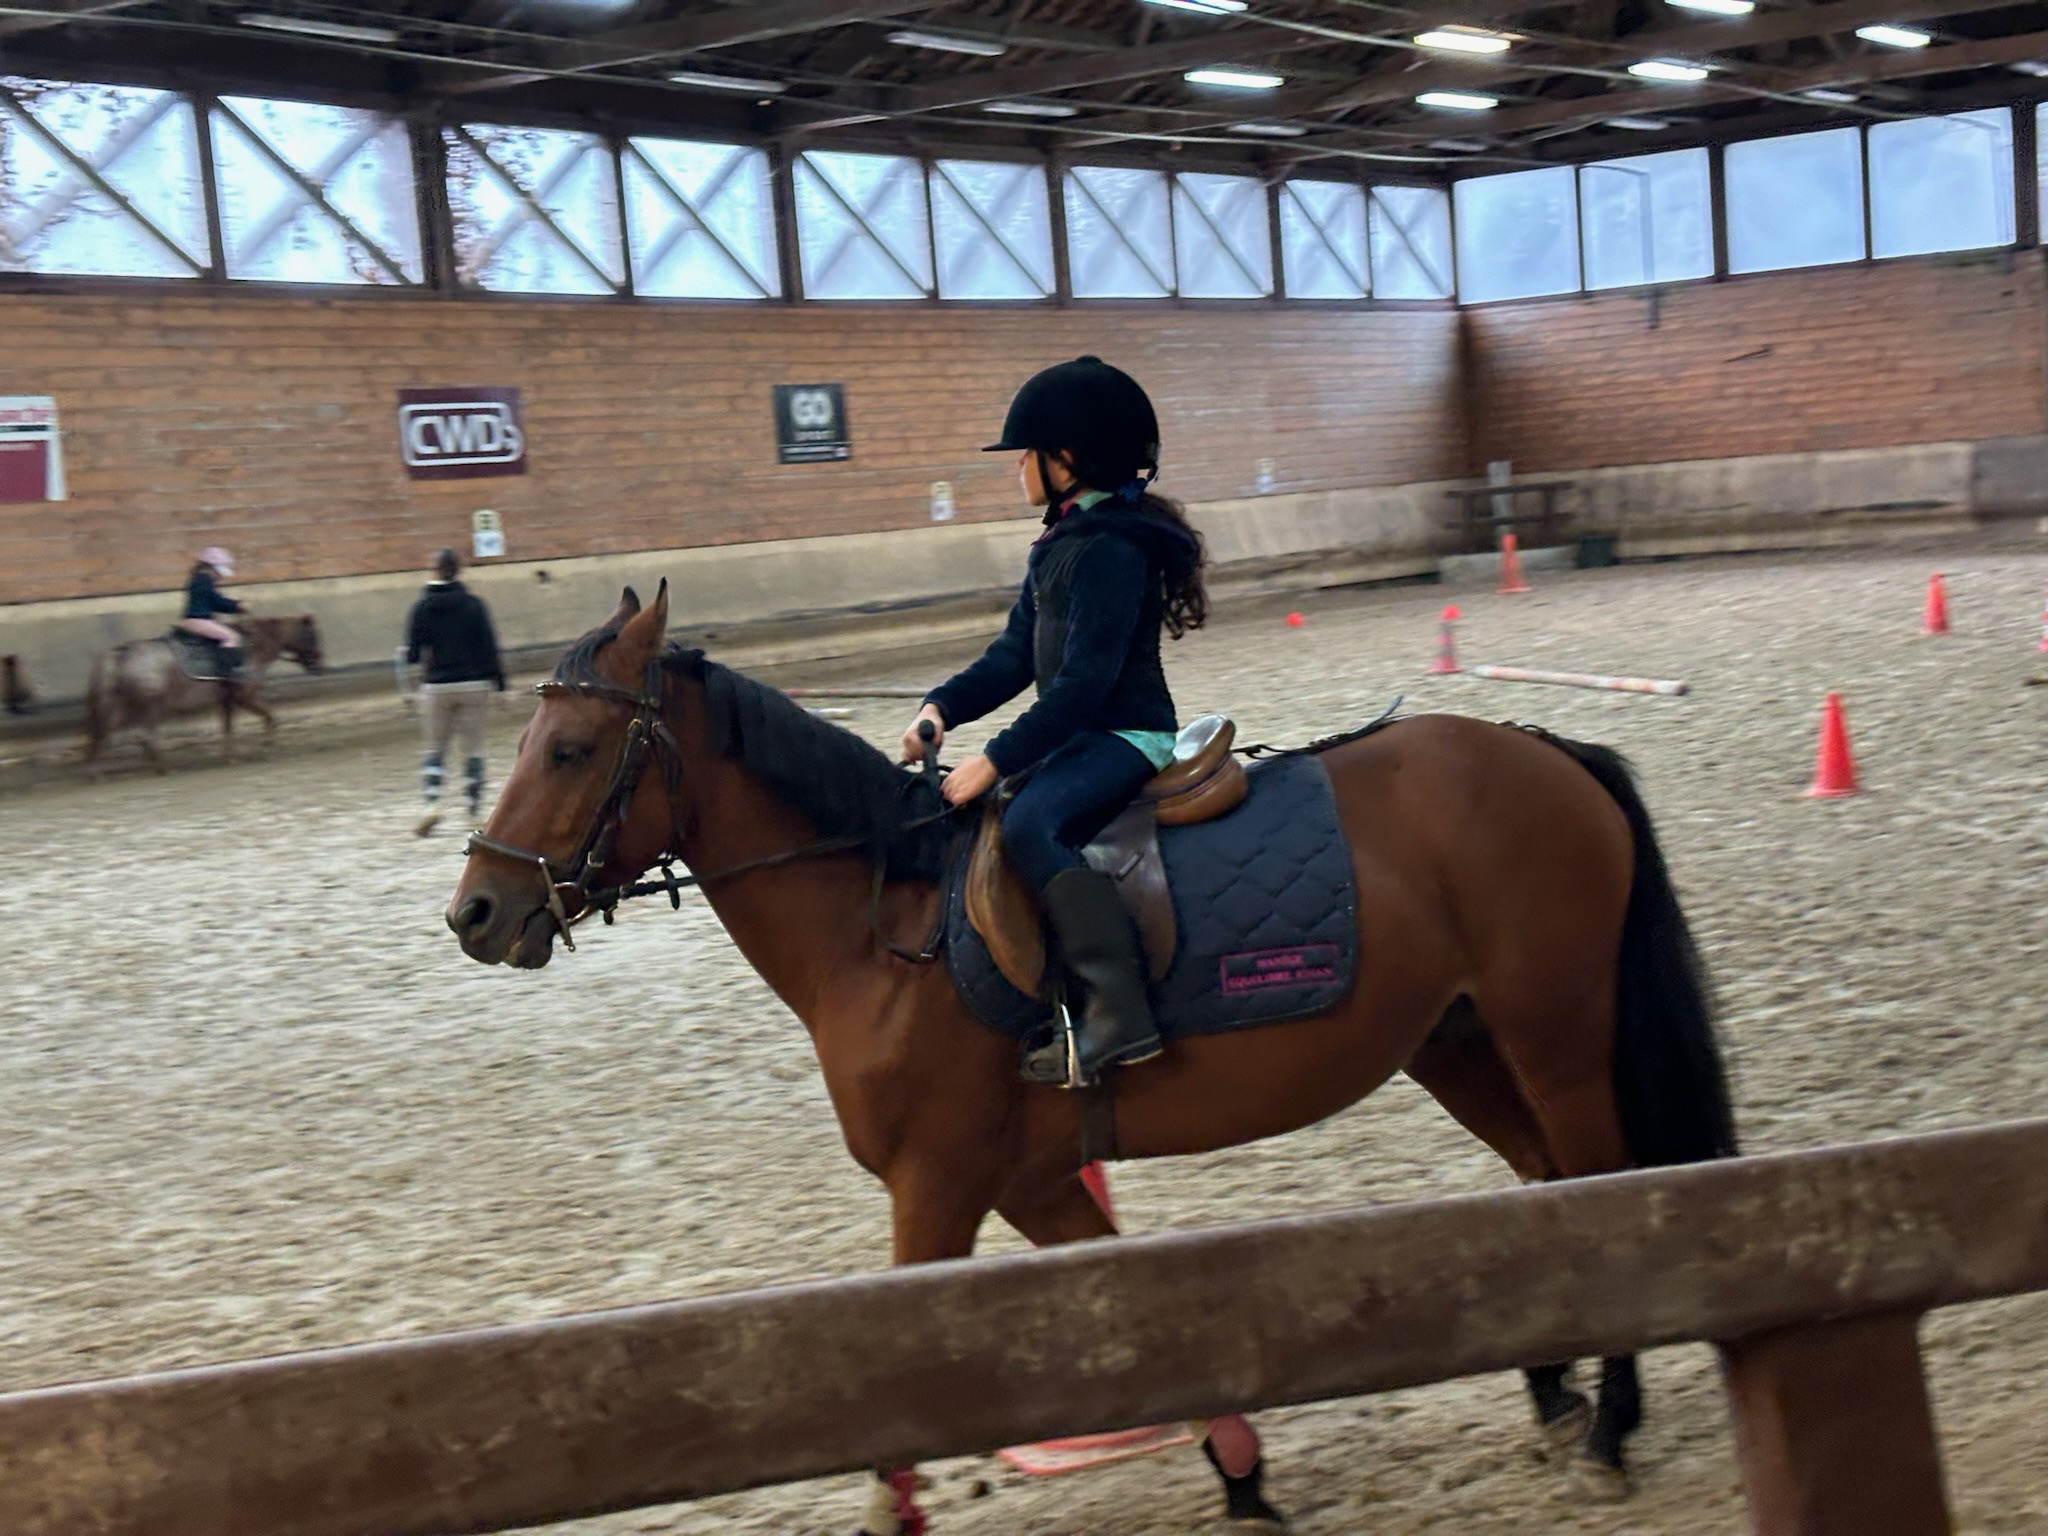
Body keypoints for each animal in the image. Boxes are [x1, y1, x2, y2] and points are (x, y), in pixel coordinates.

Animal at [85, 614, 321, 774]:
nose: (318, 665)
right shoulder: (244, 698)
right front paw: (267, 745)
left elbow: (228, 728)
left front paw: (230, 757)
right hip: (150, 706)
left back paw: (98, 772)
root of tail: (122, 653)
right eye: (312, 637)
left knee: (105, 734)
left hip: (122, 706)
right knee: (143, 738)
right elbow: (269, 716)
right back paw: (160, 767)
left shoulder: (227, 700)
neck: (252, 648)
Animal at [444, 581, 1728, 1531]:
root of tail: (1542, 751)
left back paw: (1606, 1427)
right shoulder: (1025, 1179)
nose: (476, 914)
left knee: (1610, 1191)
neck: (884, 925)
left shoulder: (938, 1184)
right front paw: (1242, 1478)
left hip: (1551, 1034)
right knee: (1546, 1189)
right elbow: (1131, 1309)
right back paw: (1554, 1395)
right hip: (1457, 1043)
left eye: (570, 749)